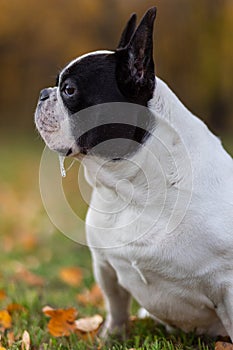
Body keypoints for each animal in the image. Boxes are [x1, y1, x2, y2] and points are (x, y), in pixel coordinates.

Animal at [34, 6, 233, 340]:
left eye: (69, 90)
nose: (42, 94)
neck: (130, 188)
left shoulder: (227, 286)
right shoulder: (104, 264)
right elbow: (115, 304)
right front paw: (110, 336)